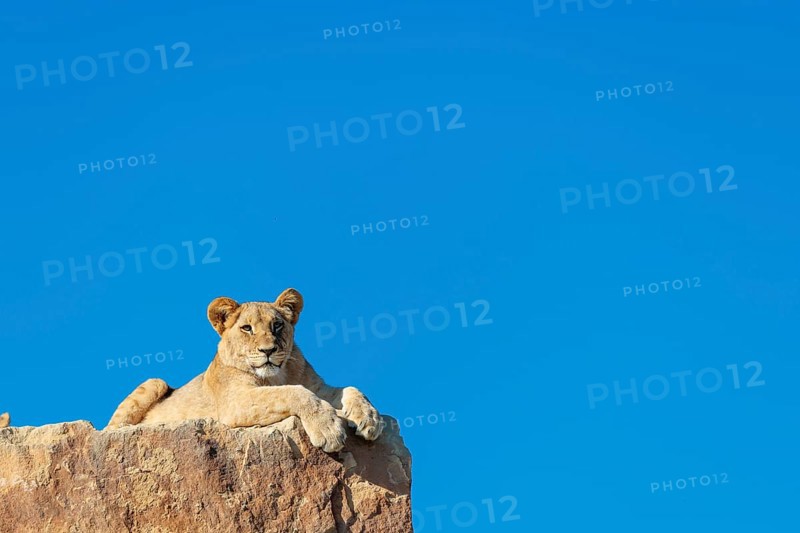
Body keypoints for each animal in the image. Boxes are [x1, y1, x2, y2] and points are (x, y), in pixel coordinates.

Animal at [105, 288, 382, 452]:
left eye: (277, 325)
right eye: (247, 328)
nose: (268, 350)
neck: (276, 376)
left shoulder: (318, 386)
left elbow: (351, 388)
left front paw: (369, 418)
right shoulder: (235, 401)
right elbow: (294, 392)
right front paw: (328, 428)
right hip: (155, 382)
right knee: (110, 429)